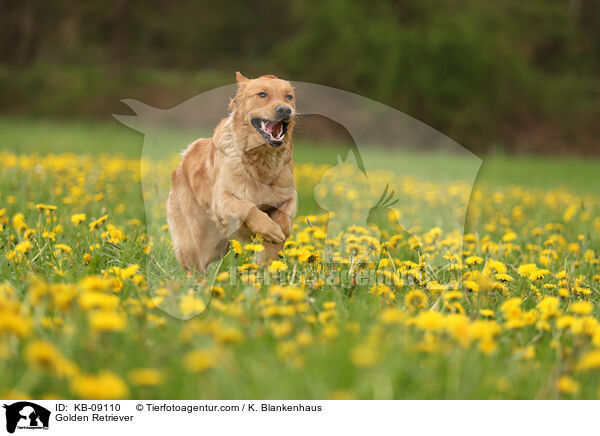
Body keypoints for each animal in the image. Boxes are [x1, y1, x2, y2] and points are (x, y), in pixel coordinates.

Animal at [166, 72, 298, 270]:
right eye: (262, 94)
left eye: (289, 96)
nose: (285, 110)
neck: (261, 160)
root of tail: (187, 154)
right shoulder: (221, 201)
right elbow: (246, 206)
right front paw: (269, 228)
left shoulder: (289, 197)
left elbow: (284, 218)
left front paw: (278, 231)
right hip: (196, 242)